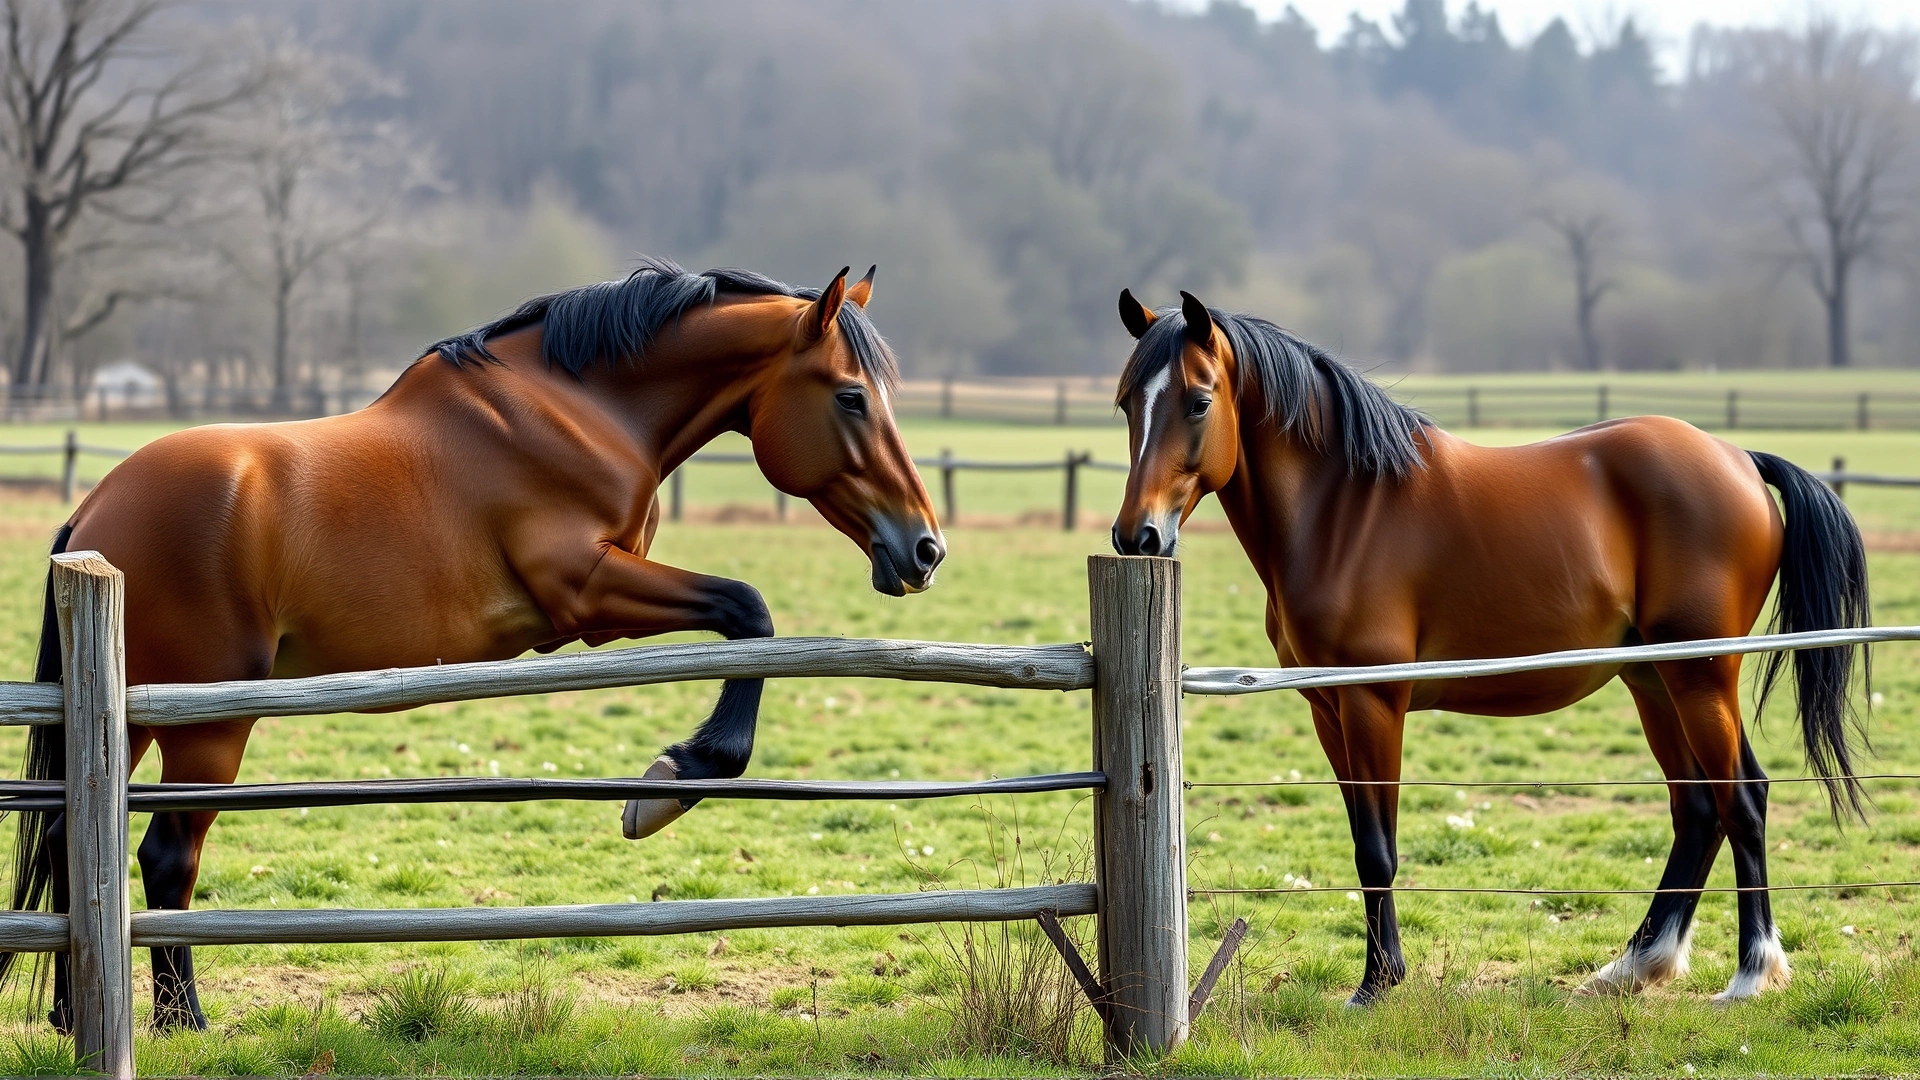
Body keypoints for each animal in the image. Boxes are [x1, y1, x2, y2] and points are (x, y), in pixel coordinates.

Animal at [6, 257, 944, 1031]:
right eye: (851, 396)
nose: (925, 549)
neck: (580, 410)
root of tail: (94, 516)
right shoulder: (588, 592)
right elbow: (750, 612)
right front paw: (678, 778)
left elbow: (744, 620)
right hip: (207, 723)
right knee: (166, 857)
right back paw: (181, 1021)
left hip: (133, 720)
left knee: (70, 841)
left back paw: (72, 1013)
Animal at [1109, 289, 1870, 1007]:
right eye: (1124, 403)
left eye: (1199, 401)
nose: (1137, 536)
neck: (1341, 512)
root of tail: (1741, 458)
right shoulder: (1329, 709)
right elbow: (1361, 841)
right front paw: (1379, 976)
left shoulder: (1373, 702)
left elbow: (1378, 851)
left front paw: (1377, 984)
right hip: (1654, 680)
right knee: (1699, 810)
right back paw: (1634, 967)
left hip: (1699, 675)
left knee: (1743, 798)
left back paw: (1750, 973)